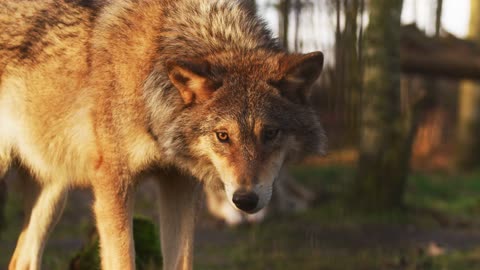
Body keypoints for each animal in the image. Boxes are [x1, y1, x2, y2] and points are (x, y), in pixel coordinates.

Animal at [0, 0, 326, 268]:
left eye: (270, 133)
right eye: (222, 135)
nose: (245, 200)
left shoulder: (179, 184)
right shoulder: (113, 184)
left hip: (53, 193)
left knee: (21, 261)